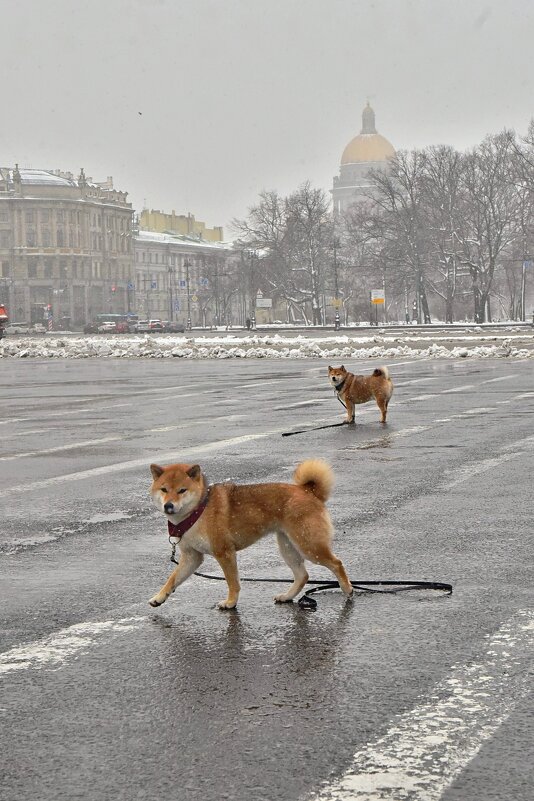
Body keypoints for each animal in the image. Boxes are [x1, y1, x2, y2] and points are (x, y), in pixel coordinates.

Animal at [149, 460, 354, 608]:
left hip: (308, 546)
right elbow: (172, 579)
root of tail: (309, 491)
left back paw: (347, 589)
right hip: (288, 547)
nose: (168, 505)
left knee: (336, 563)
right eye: (164, 489)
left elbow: (232, 582)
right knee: (302, 576)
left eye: (182, 490)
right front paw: (159, 597)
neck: (198, 511)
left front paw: (230, 603)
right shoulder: (192, 557)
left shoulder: (225, 553)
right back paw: (287, 596)